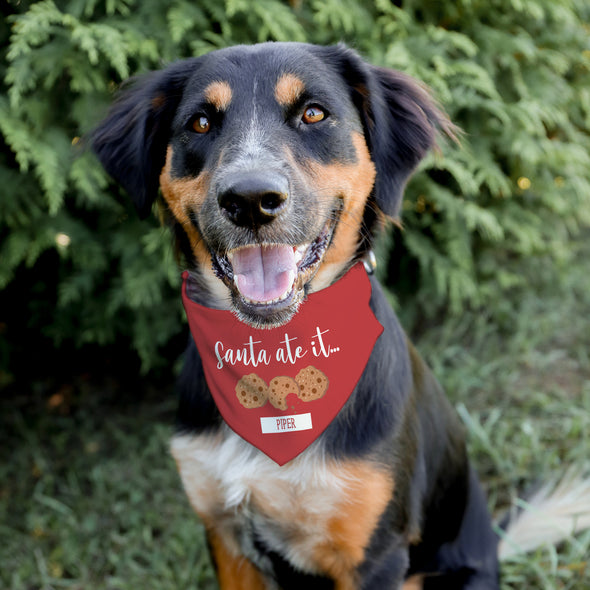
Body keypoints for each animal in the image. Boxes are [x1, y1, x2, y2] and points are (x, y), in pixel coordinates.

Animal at [91, 42, 504, 590]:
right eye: (200, 122)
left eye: (313, 114)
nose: (250, 200)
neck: (274, 358)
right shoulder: (226, 537)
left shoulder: (374, 553)